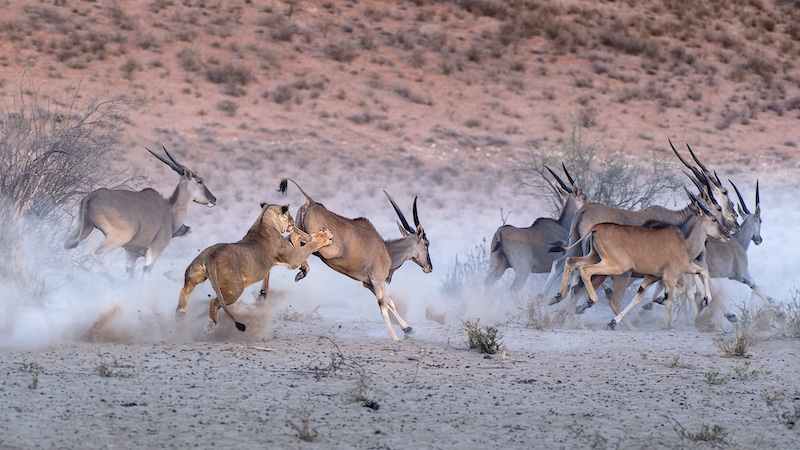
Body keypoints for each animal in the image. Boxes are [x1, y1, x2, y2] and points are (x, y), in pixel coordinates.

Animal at [176, 202, 333, 333]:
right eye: (289, 216)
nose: (294, 222)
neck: (263, 221)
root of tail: (213, 256)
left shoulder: (274, 261)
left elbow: (294, 245)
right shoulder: (292, 258)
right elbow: (308, 247)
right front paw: (324, 237)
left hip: (195, 273)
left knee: (184, 290)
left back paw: (180, 314)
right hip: (234, 289)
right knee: (214, 302)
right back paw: (211, 325)